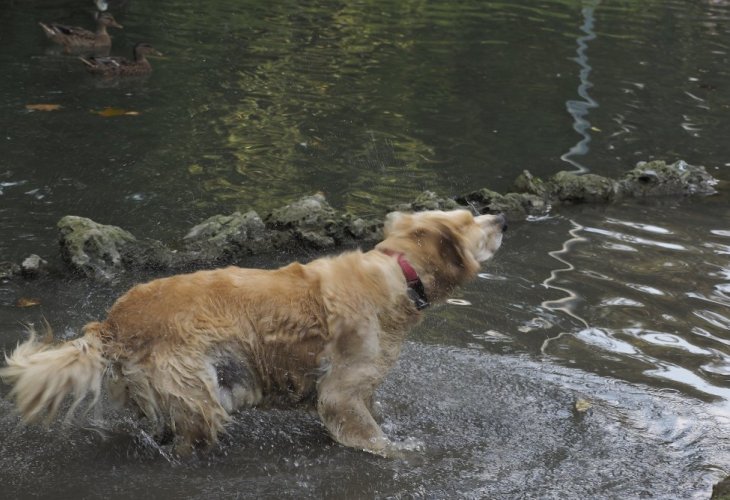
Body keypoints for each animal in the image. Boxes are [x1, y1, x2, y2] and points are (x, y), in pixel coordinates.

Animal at [0, 208, 504, 458]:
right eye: (468, 221)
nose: (500, 218)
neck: (399, 273)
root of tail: (111, 321)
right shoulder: (341, 391)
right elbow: (369, 434)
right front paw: (399, 451)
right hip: (197, 389)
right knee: (191, 437)